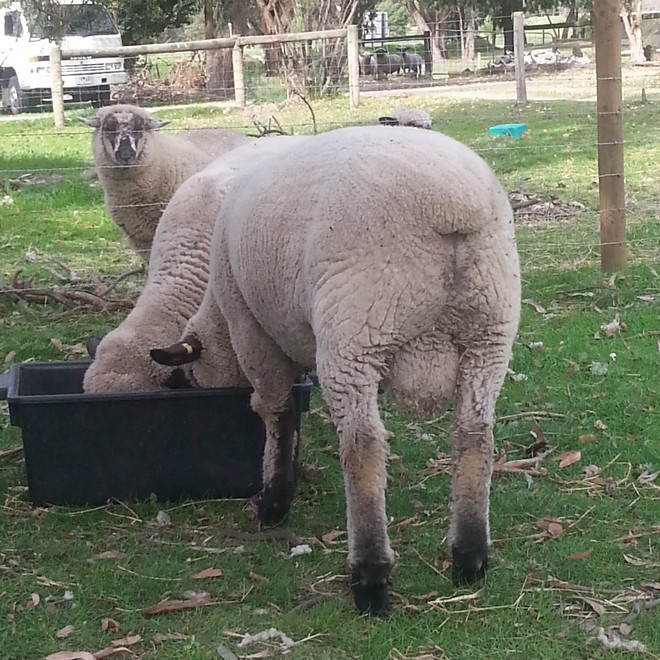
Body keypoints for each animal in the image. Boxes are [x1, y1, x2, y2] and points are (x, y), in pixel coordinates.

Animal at [151, 124, 521, 614]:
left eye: (191, 376)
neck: (218, 317)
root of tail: (451, 203)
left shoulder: (253, 332)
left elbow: (275, 411)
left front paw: (274, 500)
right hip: (490, 331)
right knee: (474, 433)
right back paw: (469, 556)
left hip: (356, 330)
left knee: (363, 446)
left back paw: (370, 577)